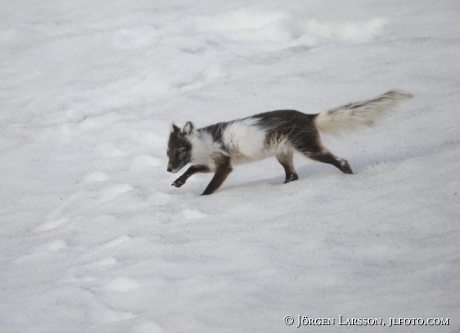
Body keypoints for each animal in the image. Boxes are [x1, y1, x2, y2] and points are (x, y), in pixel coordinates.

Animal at [166, 90, 414, 195]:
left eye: (180, 150)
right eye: (168, 152)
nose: (168, 169)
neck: (204, 144)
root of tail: (308, 116)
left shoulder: (224, 164)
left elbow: (210, 186)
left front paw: (202, 198)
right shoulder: (211, 163)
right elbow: (192, 169)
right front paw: (178, 182)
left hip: (307, 147)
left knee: (340, 161)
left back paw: (349, 176)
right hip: (283, 153)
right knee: (293, 175)